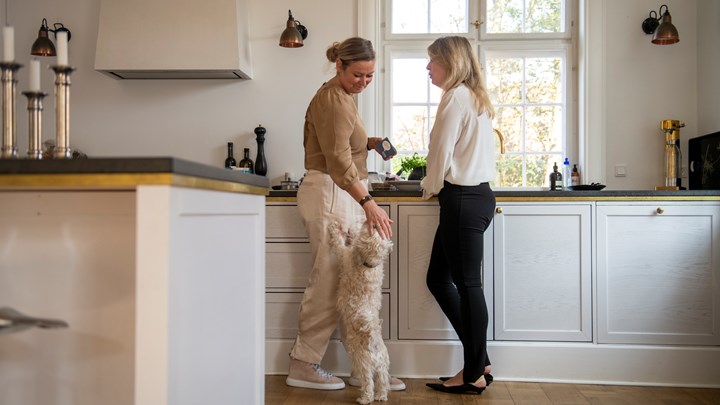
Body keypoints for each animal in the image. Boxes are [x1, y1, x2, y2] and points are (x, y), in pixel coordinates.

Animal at [328, 221, 390, 404]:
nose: (371, 222)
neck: (370, 264)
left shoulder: (344, 256)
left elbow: (339, 245)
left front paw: (337, 229)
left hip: (363, 363)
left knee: (368, 382)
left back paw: (365, 398)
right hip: (382, 366)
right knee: (383, 381)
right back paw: (381, 396)